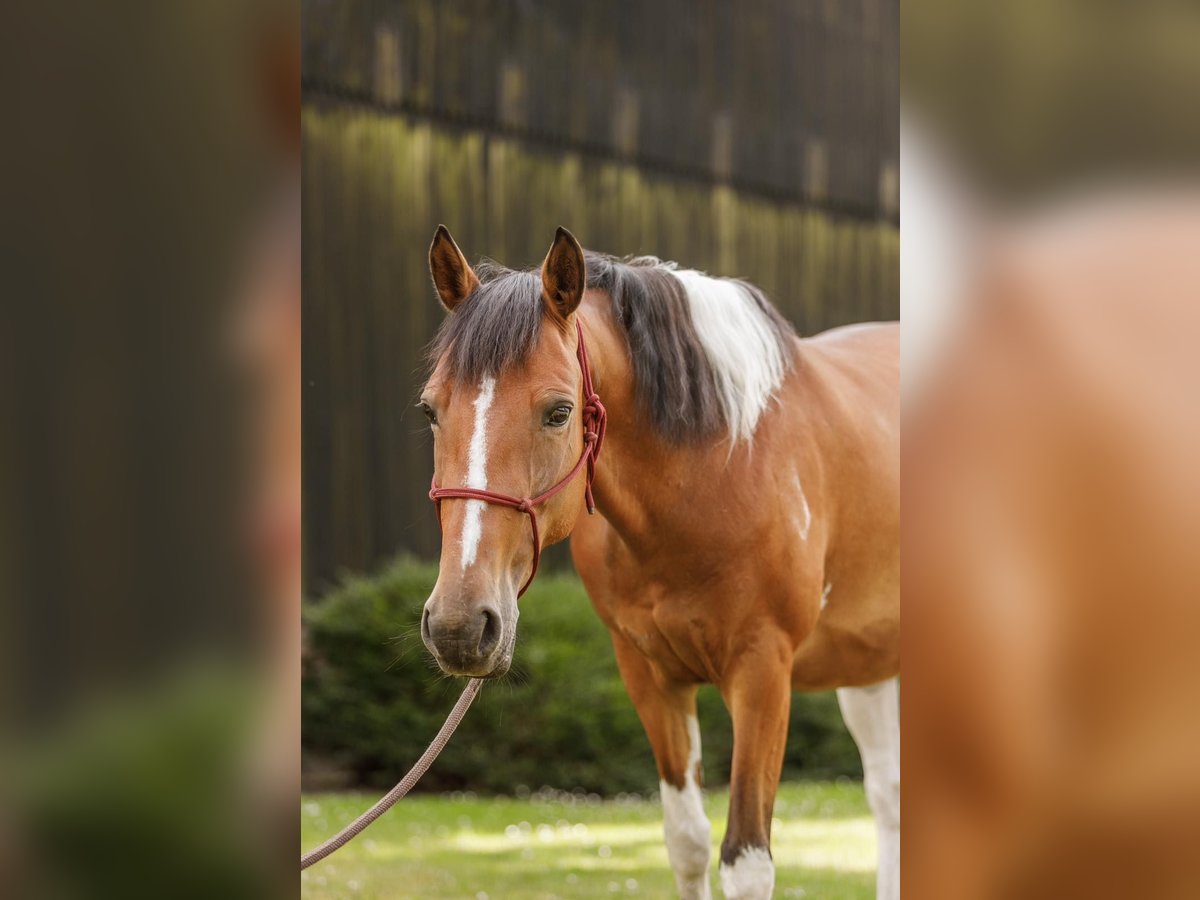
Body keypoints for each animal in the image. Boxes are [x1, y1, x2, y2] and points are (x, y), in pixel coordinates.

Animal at [417, 226, 897, 900]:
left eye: (559, 411)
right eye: (430, 410)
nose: (459, 626)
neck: (720, 468)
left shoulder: (762, 673)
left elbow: (747, 860)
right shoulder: (650, 675)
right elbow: (687, 843)